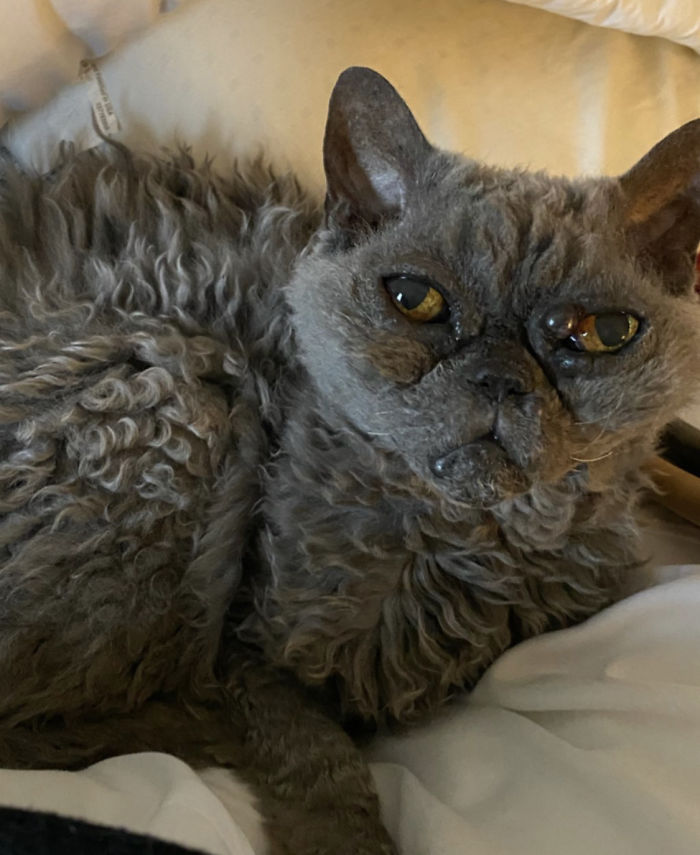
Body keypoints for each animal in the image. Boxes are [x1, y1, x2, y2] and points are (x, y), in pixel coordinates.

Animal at [0, 68, 696, 855]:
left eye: (604, 332)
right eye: (415, 298)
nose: (500, 379)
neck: (455, 546)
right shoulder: (246, 657)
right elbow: (316, 754)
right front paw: (342, 831)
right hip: (176, 387)